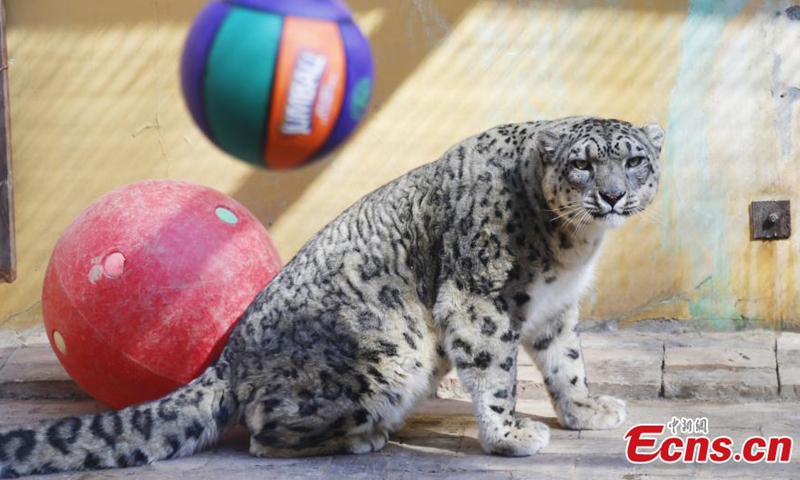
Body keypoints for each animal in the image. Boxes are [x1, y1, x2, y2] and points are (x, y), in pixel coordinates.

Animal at [0, 116, 664, 477]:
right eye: (582, 165)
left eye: (635, 159)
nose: (610, 195)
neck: (574, 246)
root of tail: (229, 360)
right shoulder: (479, 298)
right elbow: (496, 371)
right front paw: (510, 435)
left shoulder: (555, 307)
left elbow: (566, 362)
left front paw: (586, 410)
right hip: (388, 360)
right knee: (265, 435)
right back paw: (364, 436)